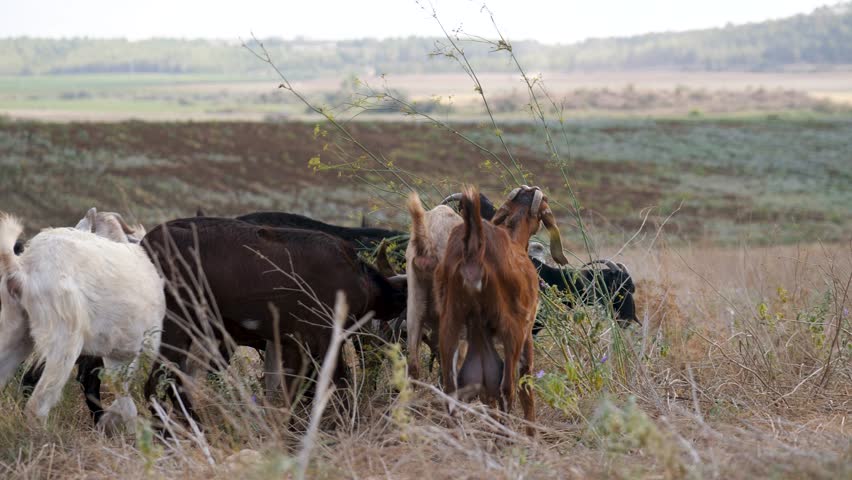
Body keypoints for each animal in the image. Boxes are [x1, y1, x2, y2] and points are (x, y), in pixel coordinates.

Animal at [0, 209, 164, 432]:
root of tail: (22, 267)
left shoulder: (118, 355)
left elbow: (124, 400)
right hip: (64, 340)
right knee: (38, 404)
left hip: (16, 331)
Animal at [141, 216, 407, 422]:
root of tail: (145, 244)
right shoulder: (324, 337)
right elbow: (338, 384)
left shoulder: (292, 345)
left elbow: (293, 393)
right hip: (178, 324)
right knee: (159, 381)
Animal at [434, 185, 569, 435]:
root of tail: (474, 254)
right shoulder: (526, 334)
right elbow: (526, 386)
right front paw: (531, 434)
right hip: (511, 332)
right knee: (508, 388)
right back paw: (505, 437)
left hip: (450, 327)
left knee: (452, 389)